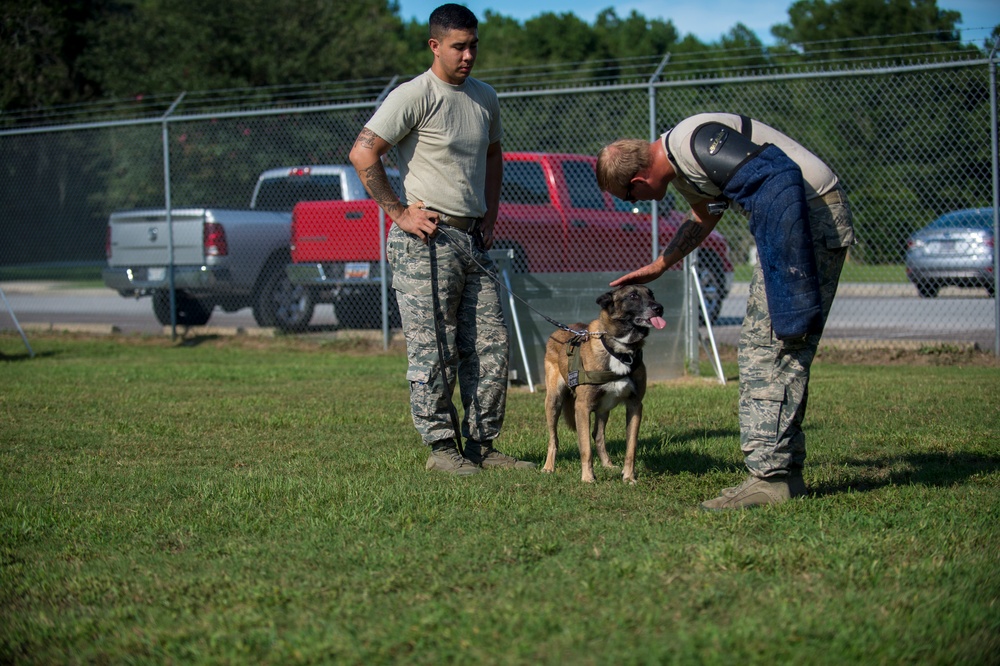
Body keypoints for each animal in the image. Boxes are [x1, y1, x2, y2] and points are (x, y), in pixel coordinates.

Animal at [544, 282, 660, 480]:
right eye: (633, 296)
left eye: (651, 294)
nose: (659, 308)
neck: (620, 350)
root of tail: (560, 330)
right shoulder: (582, 407)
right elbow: (585, 449)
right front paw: (588, 478)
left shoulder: (635, 405)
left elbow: (631, 447)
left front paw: (629, 477)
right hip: (553, 401)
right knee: (554, 439)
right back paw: (548, 467)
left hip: (603, 408)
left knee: (598, 435)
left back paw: (607, 464)